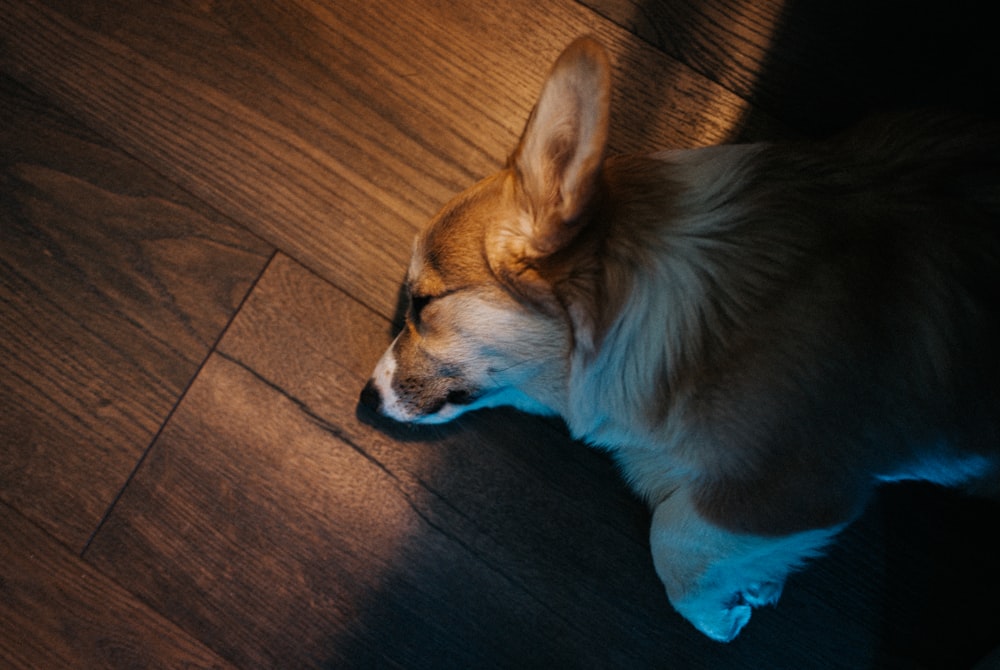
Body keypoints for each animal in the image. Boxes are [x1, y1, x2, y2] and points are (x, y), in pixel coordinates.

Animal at [362, 38, 1000, 644]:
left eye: (423, 304)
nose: (365, 400)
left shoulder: (802, 485)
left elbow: (675, 540)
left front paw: (723, 612)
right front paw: (756, 580)